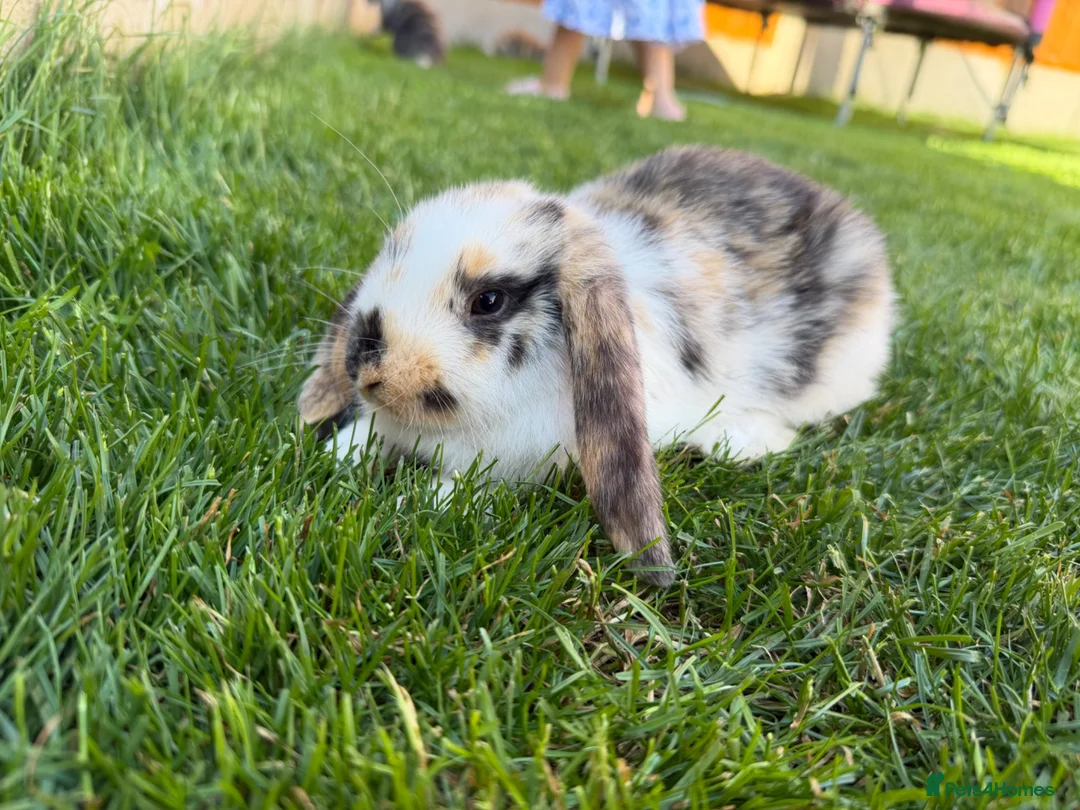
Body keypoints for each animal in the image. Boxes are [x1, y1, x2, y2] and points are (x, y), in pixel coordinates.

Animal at [298, 145, 895, 586]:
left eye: (488, 300)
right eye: (389, 257)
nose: (363, 363)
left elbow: (464, 489)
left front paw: (410, 502)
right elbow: (367, 435)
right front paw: (334, 455)